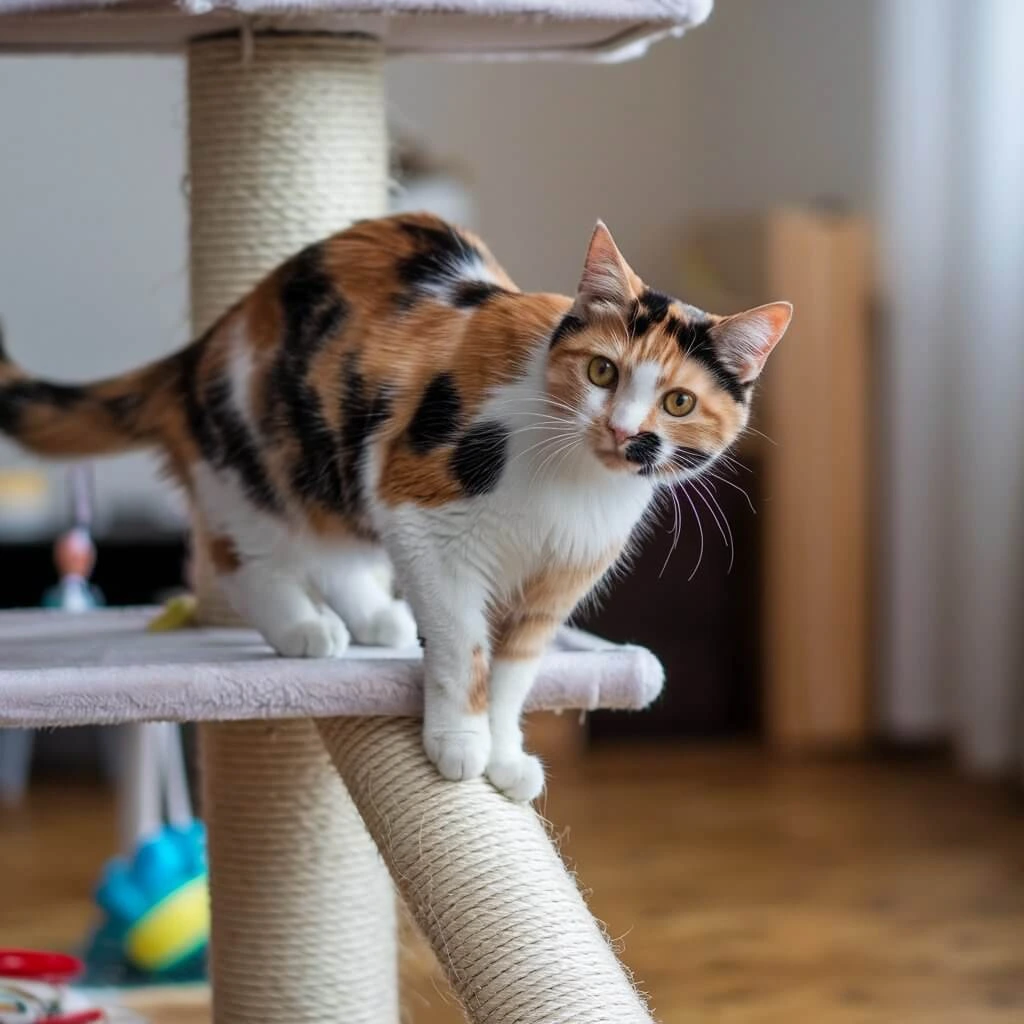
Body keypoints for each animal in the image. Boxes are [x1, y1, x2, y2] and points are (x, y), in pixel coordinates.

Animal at [0, 214, 790, 798]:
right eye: (602, 371)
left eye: (678, 402)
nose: (625, 431)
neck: (573, 481)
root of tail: (200, 350)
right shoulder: (427, 520)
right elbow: (464, 648)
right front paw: (460, 743)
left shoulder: (556, 582)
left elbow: (516, 672)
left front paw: (506, 755)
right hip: (268, 465)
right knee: (239, 556)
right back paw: (304, 628)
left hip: (341, 486)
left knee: (337, 552)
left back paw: (377, 620)